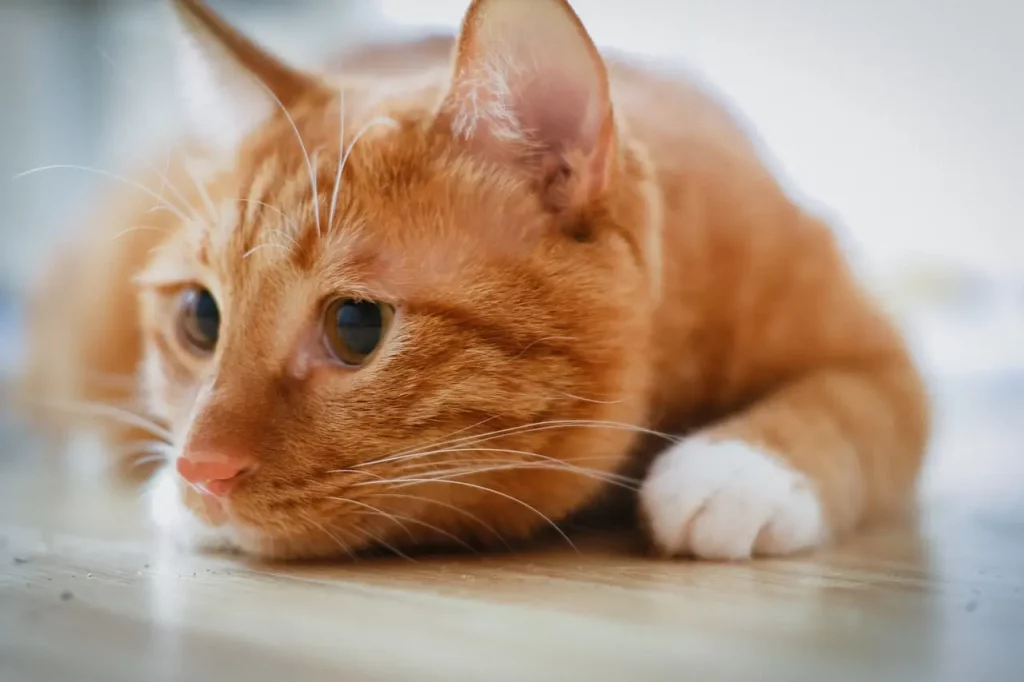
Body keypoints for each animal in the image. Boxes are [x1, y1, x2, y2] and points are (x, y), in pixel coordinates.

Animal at [18, 0, 929, 557]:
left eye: (356, 327)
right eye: (201, 320)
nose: (199, 472)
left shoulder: (881, 356)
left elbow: (846, 404)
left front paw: (740, 469)